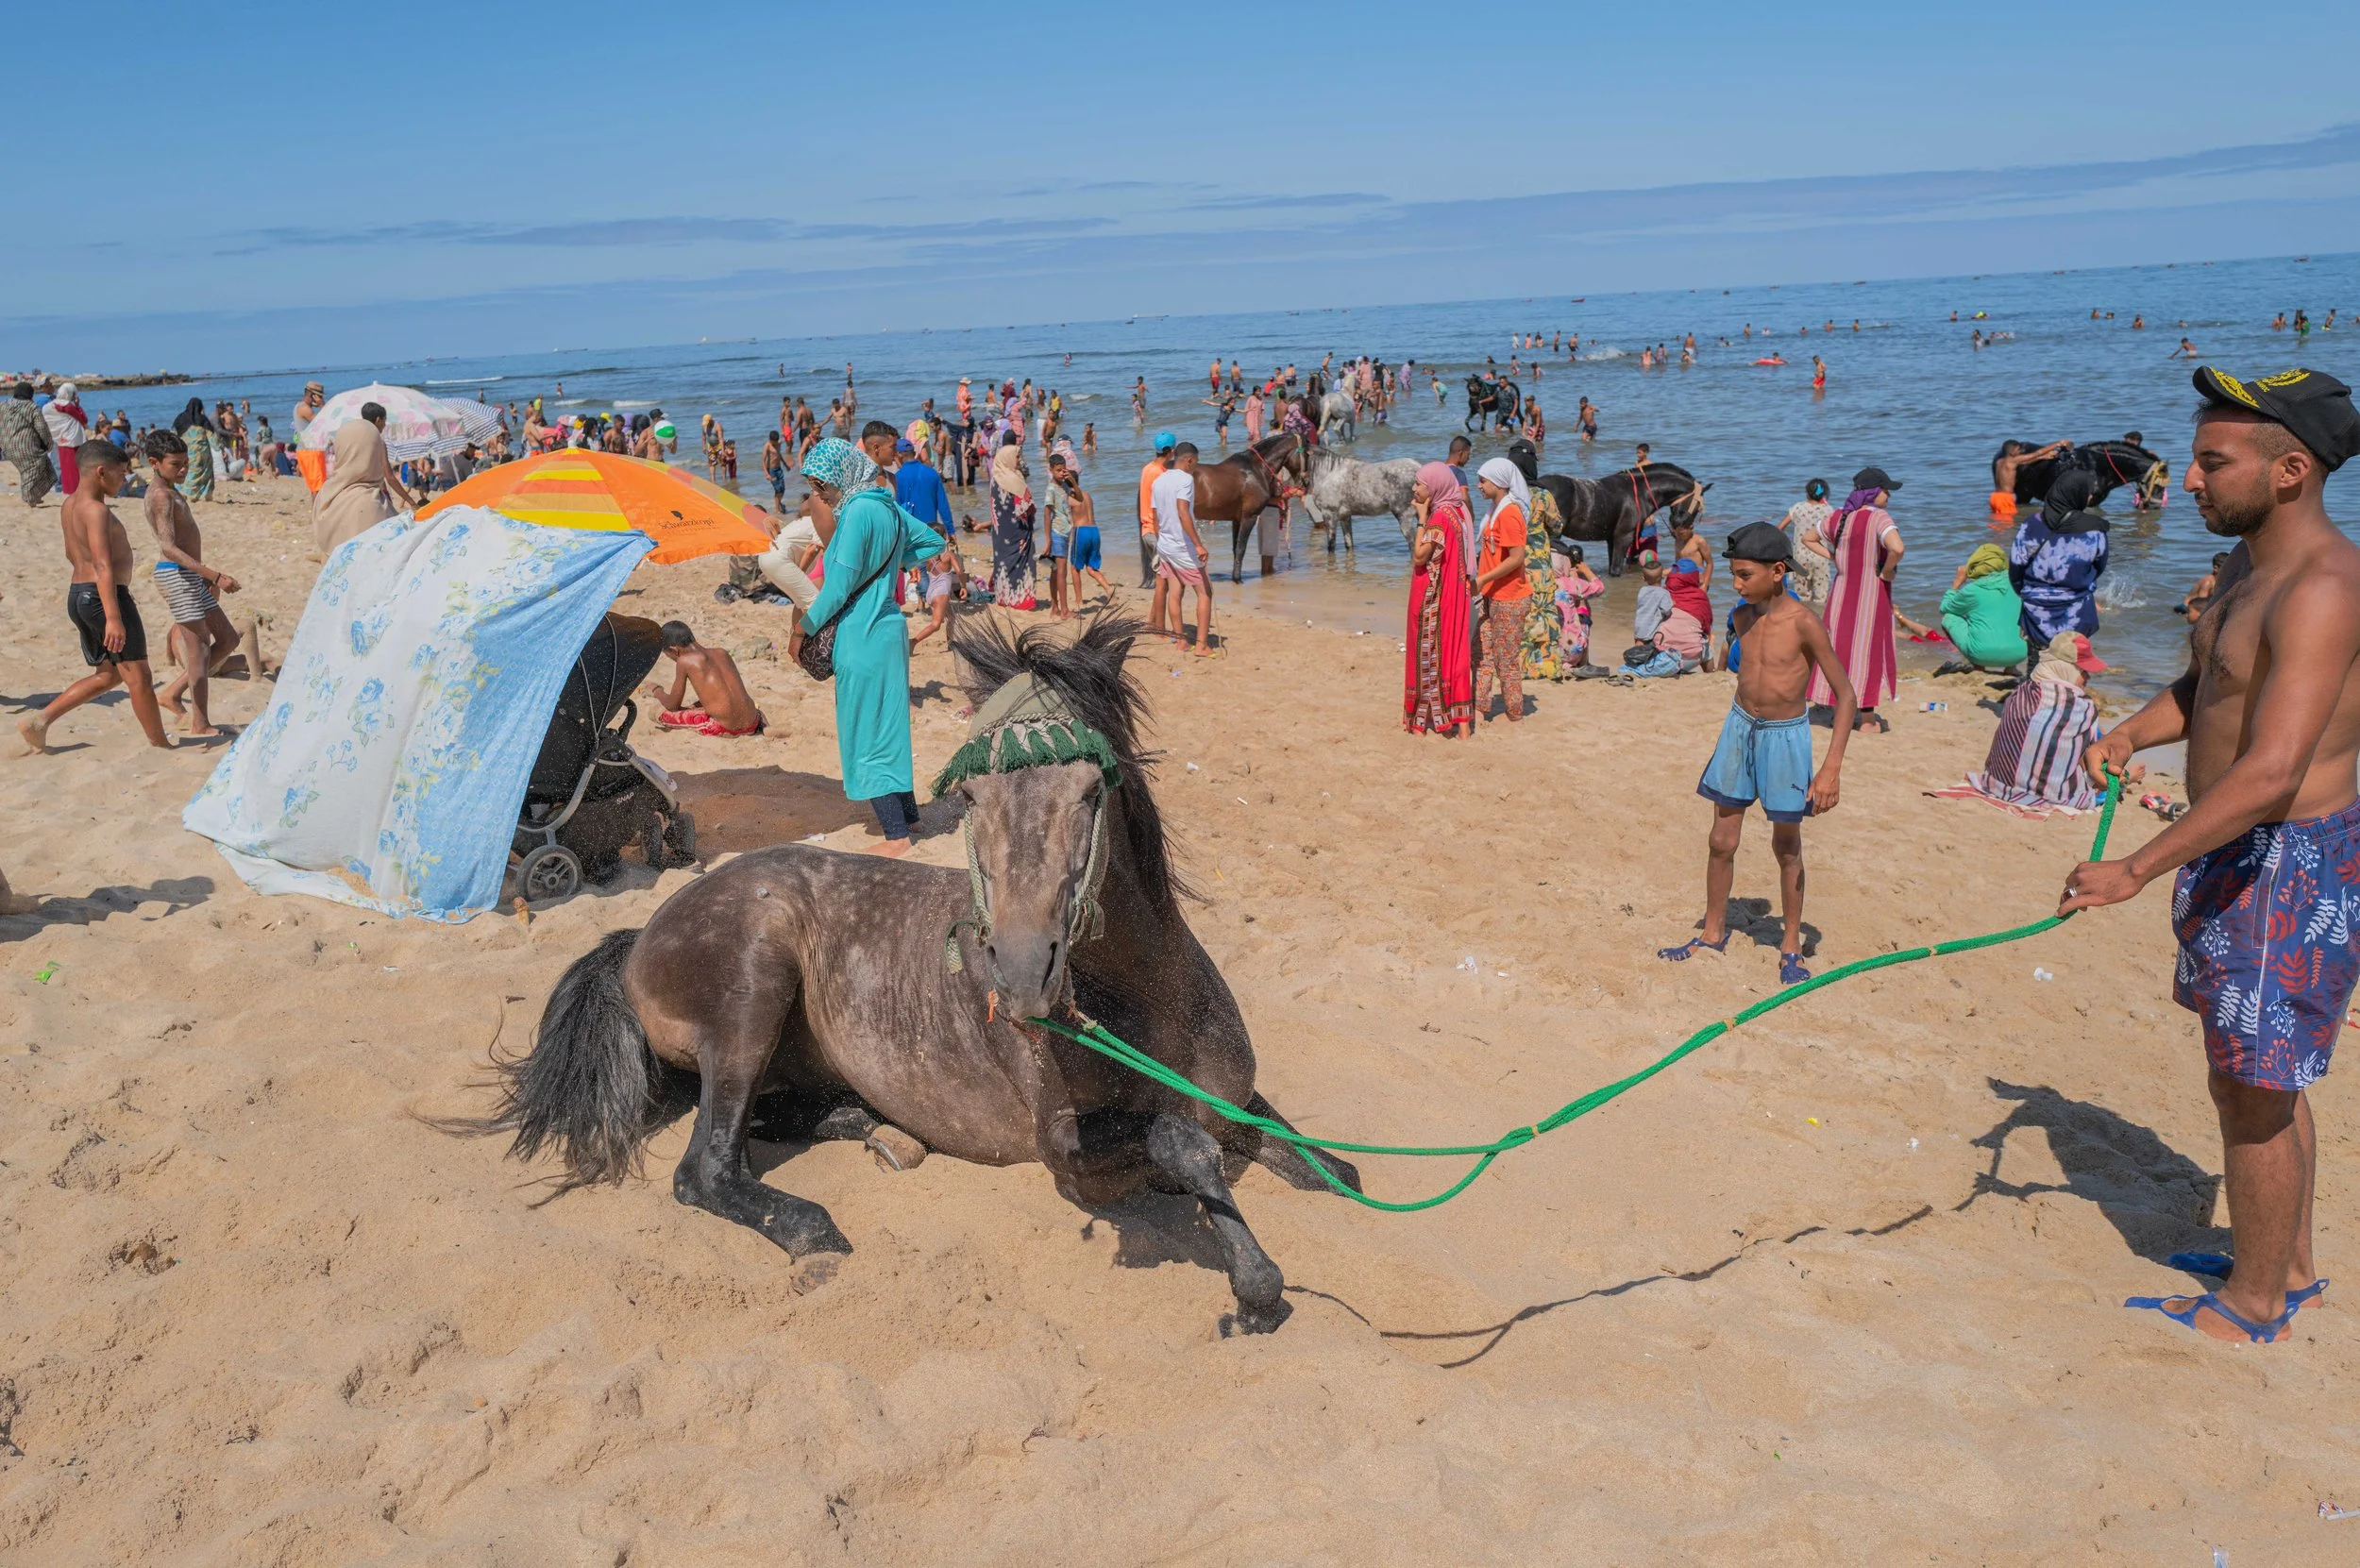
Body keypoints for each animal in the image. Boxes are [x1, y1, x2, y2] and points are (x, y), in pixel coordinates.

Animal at [459, 614, 1361, 1335]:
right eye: (970, 796)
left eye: (1088, 790)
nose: (1023, 973)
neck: (1147, 1010)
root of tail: (641, 931)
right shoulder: (1071, 1154)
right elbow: (1177, 1138)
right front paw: (1254, 1290)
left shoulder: (1238, 1101)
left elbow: (1334, 1171)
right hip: (754, 983)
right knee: (706, 1167)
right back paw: (814, 1225)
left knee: (766, 1121)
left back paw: (875, 1128)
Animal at [1187, 431, 1311, 582]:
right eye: (1306, 453)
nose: (1306, 482)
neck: (1256, 469)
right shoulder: (1249, 517)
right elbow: (1241, 549)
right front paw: (1237, 579)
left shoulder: (1237, 519)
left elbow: (1235, 548)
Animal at [1537, 462, 1711, 576]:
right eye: (1698, 506)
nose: (1680, 525)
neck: (1640, 492)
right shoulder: (1624, 536)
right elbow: (1615, 570)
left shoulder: (1612, 539)